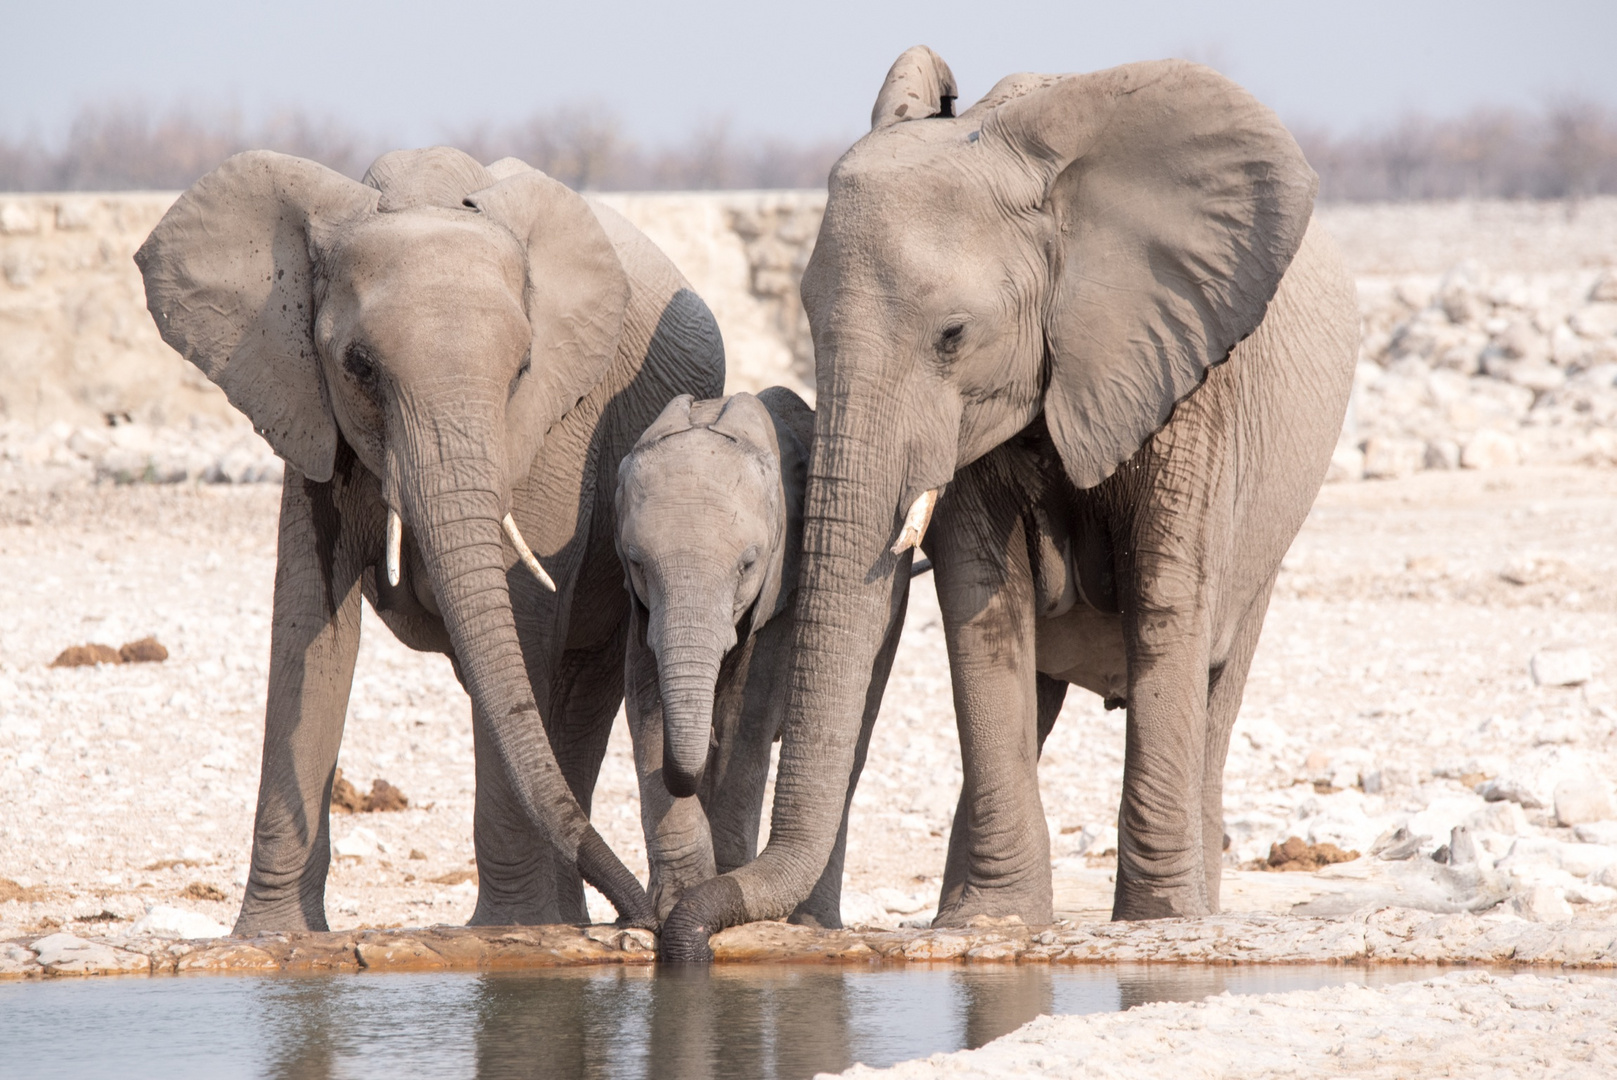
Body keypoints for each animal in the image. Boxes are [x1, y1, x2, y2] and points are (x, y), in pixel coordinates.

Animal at [137, 145, 721, 937]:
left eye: (522, 369)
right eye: (358, 367)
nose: (650, 924)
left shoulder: (557, 433)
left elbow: (522, 618)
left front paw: (509, 933)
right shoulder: (304, 407)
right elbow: (311, 629)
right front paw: (276, 939)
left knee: (575, 690)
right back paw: (567, 919)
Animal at [662, 48, 1358, 963]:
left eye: (953, 335)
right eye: (805, 320)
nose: (681, 940)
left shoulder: (1191, 370)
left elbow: (1168, 599)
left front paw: (1158, 928)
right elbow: (977, 605)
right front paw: (986, 925)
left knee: (1217, 673)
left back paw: (1192, 907)